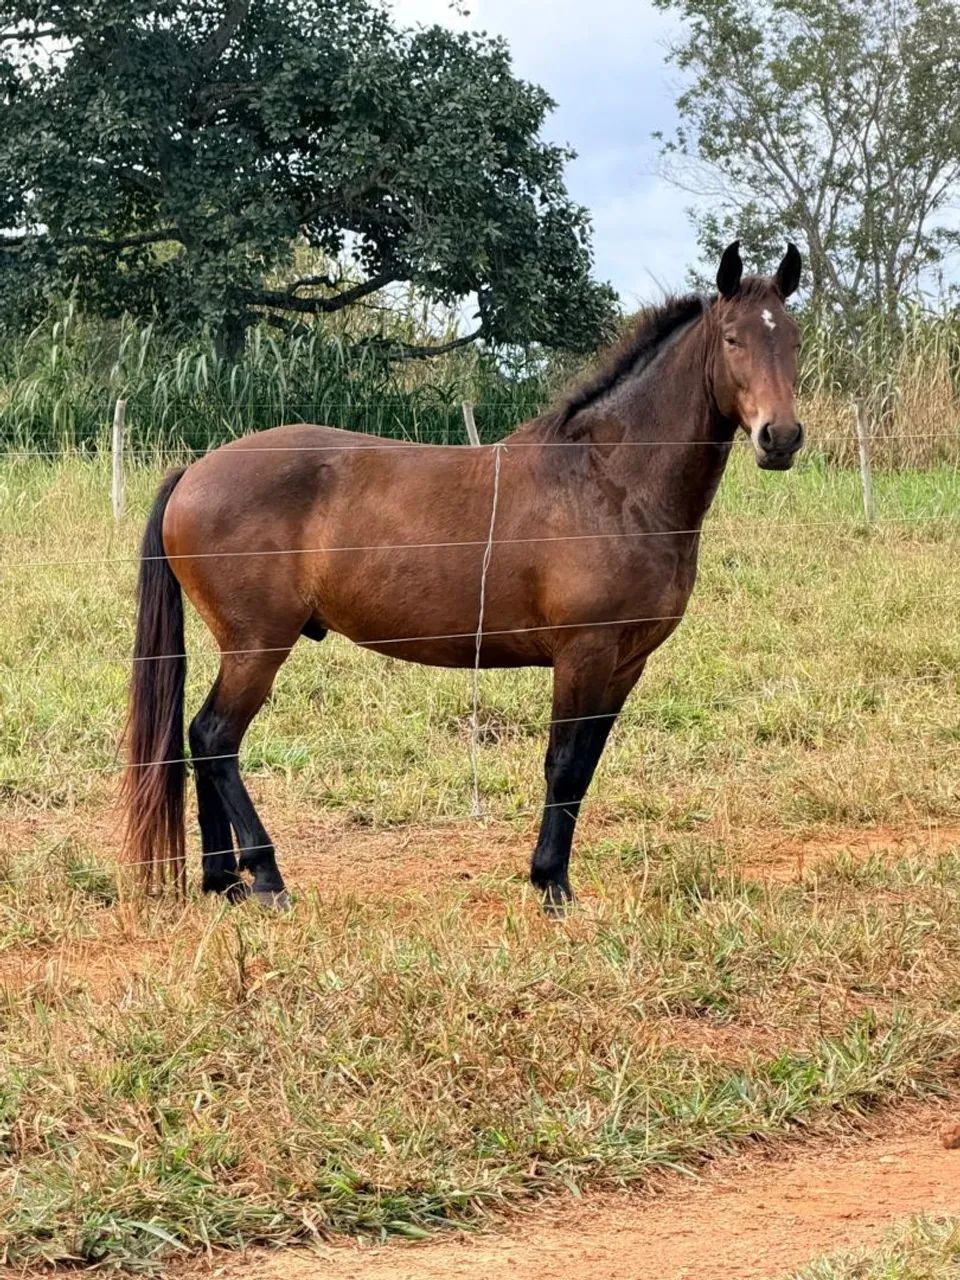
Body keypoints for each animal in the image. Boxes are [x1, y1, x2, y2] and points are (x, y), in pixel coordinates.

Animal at [123, 240, 804, 911]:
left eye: (794, 338)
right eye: (733, 339)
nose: (781, 437)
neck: (608, 481)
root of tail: (193, 472)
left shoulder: (626, 662)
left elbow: (585, 766)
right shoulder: (583, 652)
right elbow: (563, 765)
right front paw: (551, 884)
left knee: (204, 741)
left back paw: (223, 881)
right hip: (258, 646)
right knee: (215, 737)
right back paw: (264, 876)